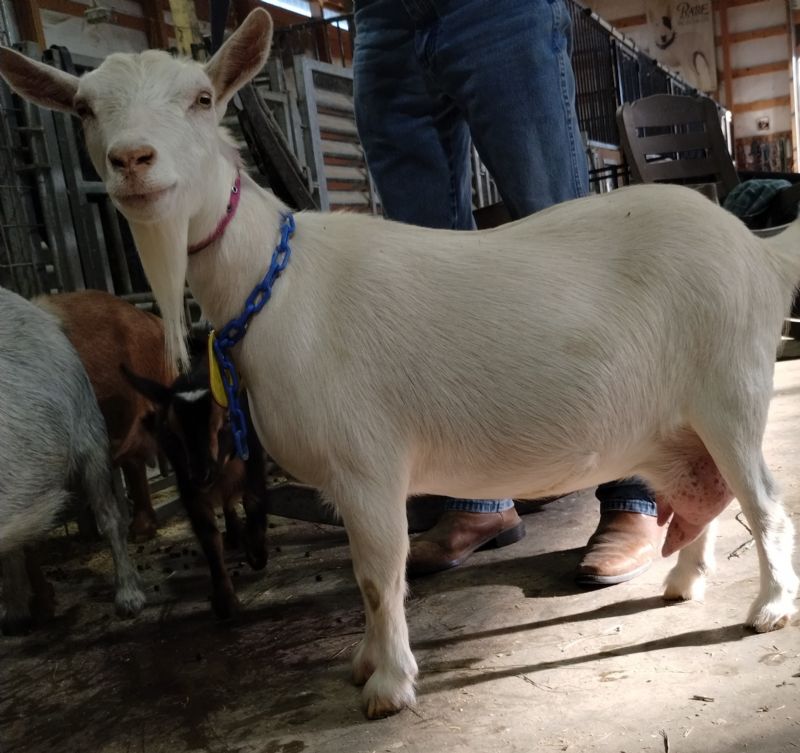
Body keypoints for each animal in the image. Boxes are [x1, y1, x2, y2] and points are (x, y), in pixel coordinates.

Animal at [124, 364, 269, 619]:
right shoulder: (188, 488)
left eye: (228, 419)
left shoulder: (253, 463)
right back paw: (233, 534)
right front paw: (225, 600)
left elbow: (254, 501)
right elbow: (209, 537)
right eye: (170, 431)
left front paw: (257, 553)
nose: (202, 474)